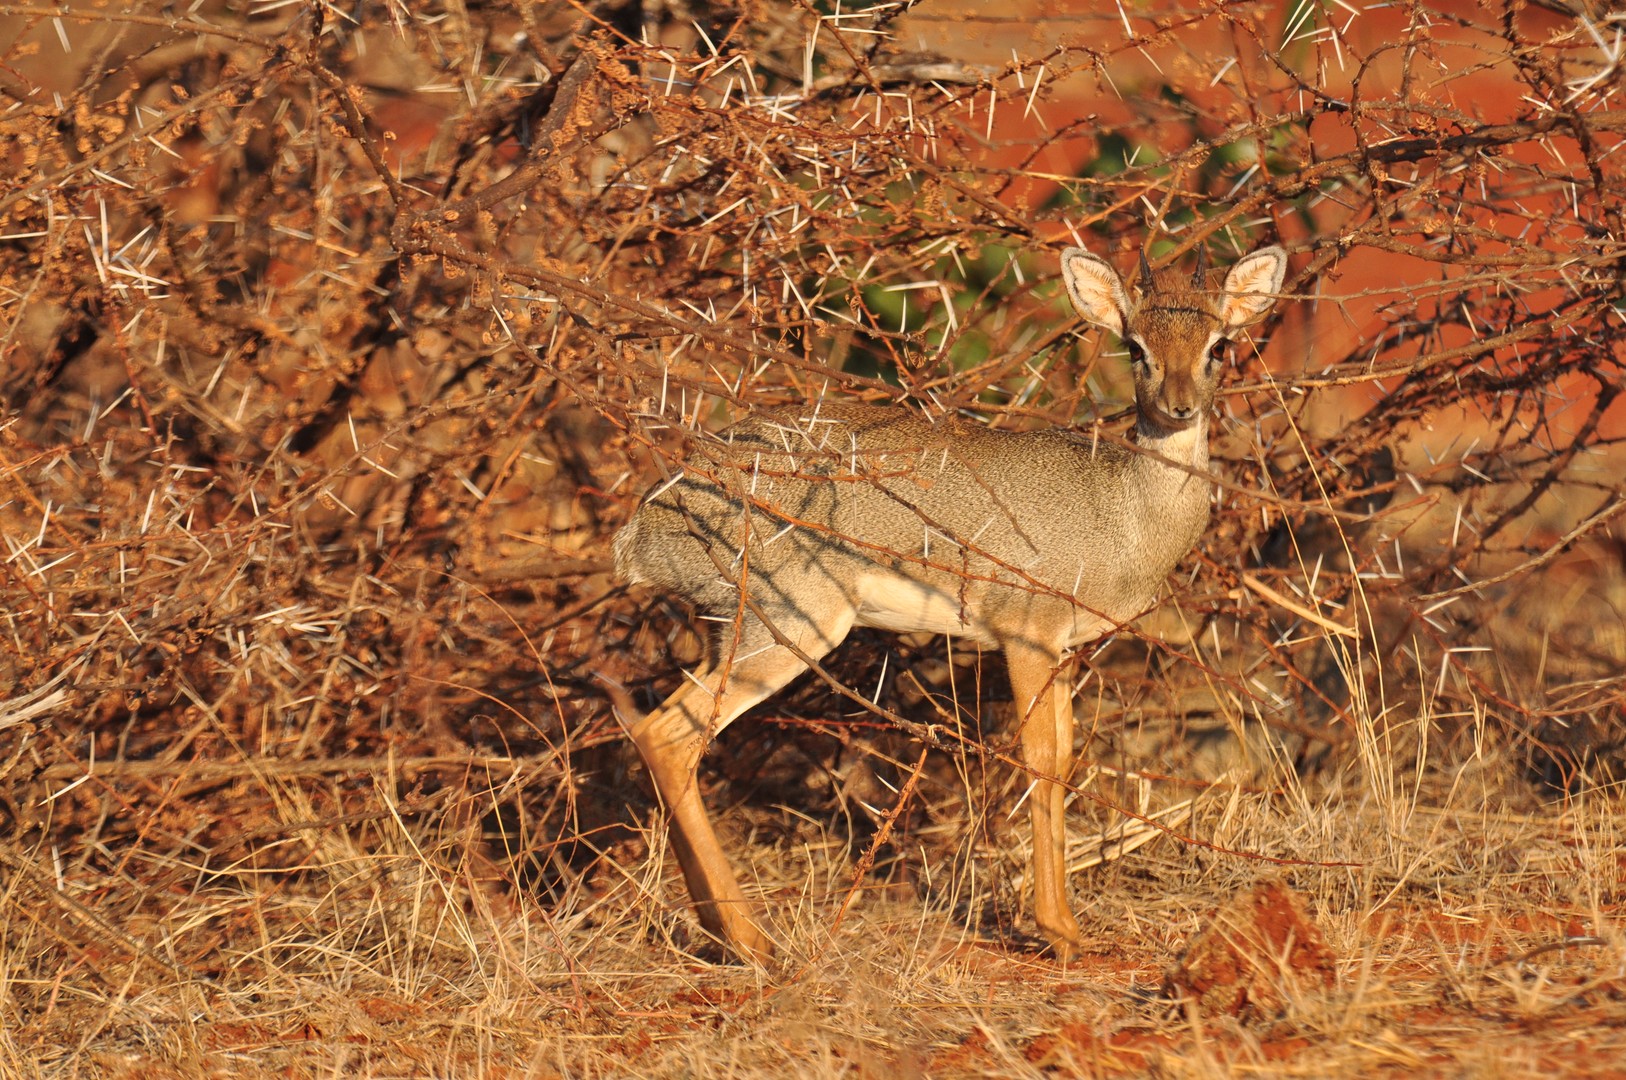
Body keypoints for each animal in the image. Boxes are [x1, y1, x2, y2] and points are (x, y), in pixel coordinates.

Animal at [614, 243, 1287, 962]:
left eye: (1219, 344)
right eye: (1135, 346)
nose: (1180, 406)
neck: (1122, 510)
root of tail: (647, 524)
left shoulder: (1064, 649)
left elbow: (1066, 759)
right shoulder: (1027, 633)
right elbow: (1040, 760)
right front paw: (1059, 930)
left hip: (733, 634)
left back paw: (720, 930)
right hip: (793, 627)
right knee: (666, 735)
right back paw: (751, 941)